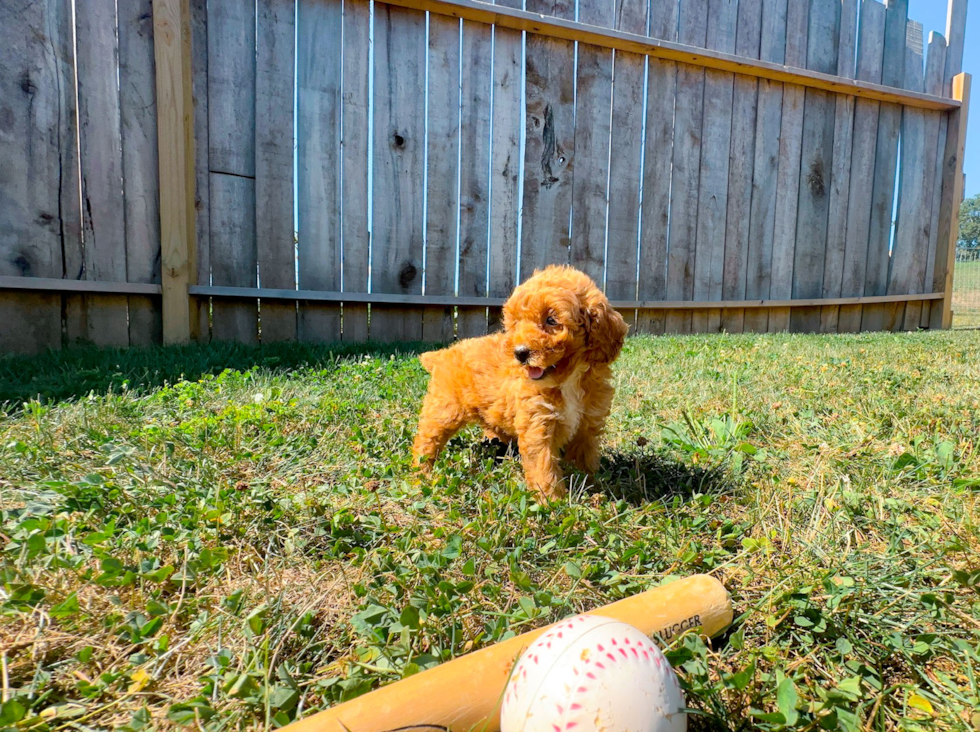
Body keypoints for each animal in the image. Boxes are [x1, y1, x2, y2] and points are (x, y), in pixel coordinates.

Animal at [412, 266, 628, 500]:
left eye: (551, 320)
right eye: (516, 323)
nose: (520, 353)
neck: (567, 380)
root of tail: (443, 353)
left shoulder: (587, 424)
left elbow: (584, 460)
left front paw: (591, 489)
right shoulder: (537, 424)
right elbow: (543, 466)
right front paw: (551, 500)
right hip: (443, 410)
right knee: (426, 441)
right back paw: (421, 473)